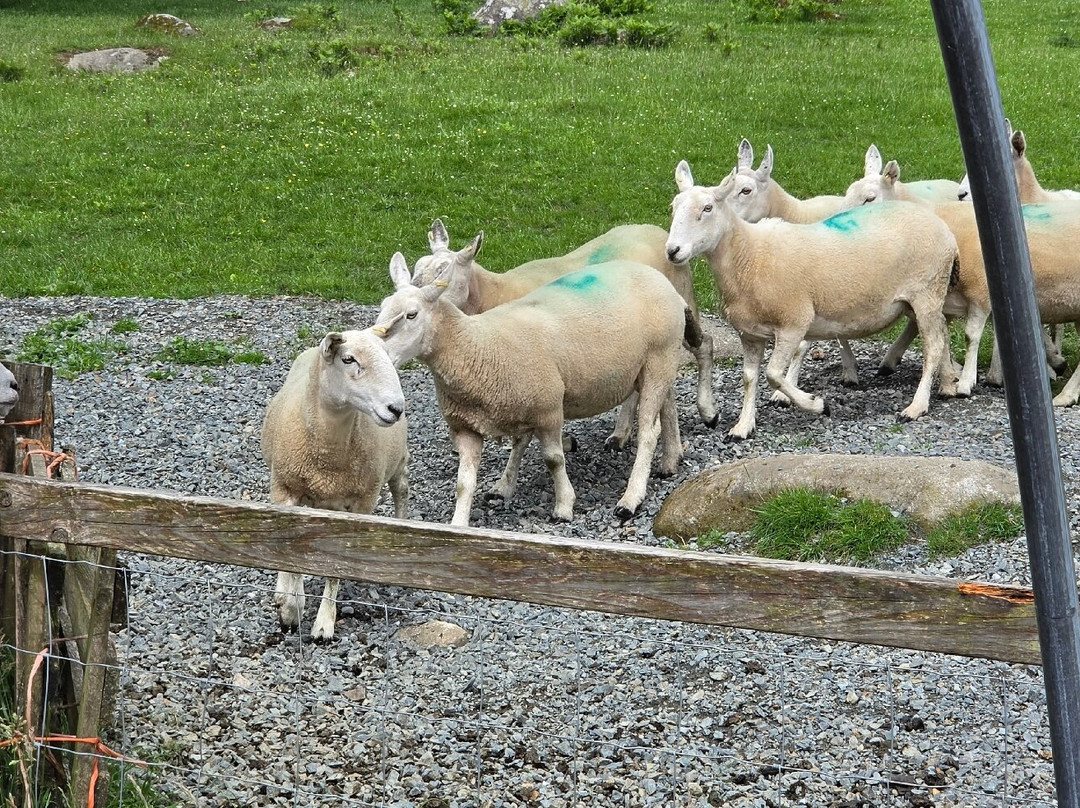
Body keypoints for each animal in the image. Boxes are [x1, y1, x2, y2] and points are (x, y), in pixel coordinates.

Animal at [261, 329, 409, 640]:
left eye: (388, 357)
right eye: (348, 359)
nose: (396, 408)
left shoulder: (360, 504)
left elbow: (336, 568)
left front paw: (323, 623)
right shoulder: (284, 488)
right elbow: (288, 554)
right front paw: (289, 607)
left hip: (397, 460)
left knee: (401, 490)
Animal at [373, 249, 693, 526]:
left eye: (412, 315)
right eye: (382, 309)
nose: (378, 352)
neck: (477, 345)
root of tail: (660, 280)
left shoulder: (548, 409)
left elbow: (553, 459)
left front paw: (563, 506)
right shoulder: (469, 426)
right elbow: (467, 481)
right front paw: (465, 518)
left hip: (658, 359)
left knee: (649, 431)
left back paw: (631, 497)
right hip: (658, 363)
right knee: (669, 406)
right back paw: (670, 460)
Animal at [411, 219, 718, 442]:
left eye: (443, 273)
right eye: (415, 268)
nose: (410, 294)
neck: (492, 293)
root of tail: (657, 231)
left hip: (681, 305)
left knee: (705, 344)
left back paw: (708, 412)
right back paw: (620, 433)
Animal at [666, 160, 959, 440]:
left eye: (707, 208)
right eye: (673, 207)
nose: (672, 251)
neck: (749, 254)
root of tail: (941, 226)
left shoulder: (794, 322)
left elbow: (774, 374)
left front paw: (816, 404)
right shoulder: (749, 333)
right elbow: (749, 379)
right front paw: (743, 426)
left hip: (926, 291)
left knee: (933, 346)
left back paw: (916, 406)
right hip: (921, 299)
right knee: (942, 333)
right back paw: (948, 384)